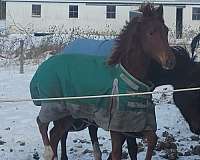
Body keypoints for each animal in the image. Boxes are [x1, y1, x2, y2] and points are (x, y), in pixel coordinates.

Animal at [30, 3, 176, 160]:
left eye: (166, 31)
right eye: (150, 33)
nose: (170, 61)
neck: (130, 80)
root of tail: (42, 67)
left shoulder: (136, 125)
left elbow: (152, 140)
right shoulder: (116, 128)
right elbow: (117, 153)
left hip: (67, 115)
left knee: (54, 135)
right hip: (55, 107)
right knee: (42, 124)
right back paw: (47, 151)